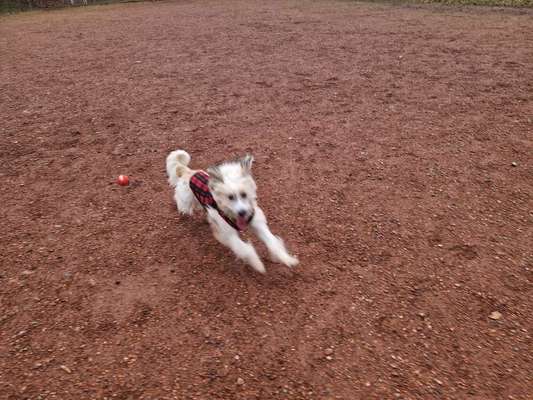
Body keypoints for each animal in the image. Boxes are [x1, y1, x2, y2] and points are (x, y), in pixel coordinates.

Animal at [165, 148, 298, 274]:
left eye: (244, 195)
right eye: (230, 197)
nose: (242, 212)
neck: (235, 216)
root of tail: (189, 171)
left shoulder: (257, 223)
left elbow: (272, 242)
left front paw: (287, 259)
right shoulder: (228, 235)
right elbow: (244, 249)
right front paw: (257, 264)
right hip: (185, 199)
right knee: (180, 202)